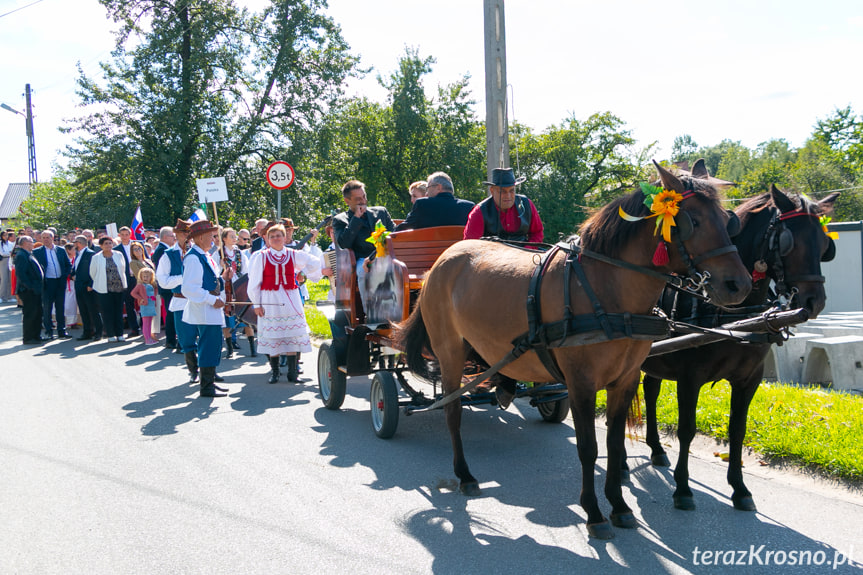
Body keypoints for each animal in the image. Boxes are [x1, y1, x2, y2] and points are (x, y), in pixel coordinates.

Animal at [394, 163, 752, 540]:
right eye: (692, 221)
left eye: (728, 220)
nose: (739, 285)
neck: (605, 290)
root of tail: (443, 259)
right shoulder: (581, 383)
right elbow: (588, 448)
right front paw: (594, 512)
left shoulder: (625, 380)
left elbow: (614, 444)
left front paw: (620, 506)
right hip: (450, 351)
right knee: (453, 410)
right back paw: (464, 474)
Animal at [640, 184, 836, 512]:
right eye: (790, 242)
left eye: (824, 245)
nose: (814, 301)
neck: (733, 315)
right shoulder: (689, 378)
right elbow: (686, 429)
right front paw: (683, 488)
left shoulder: (749, 379)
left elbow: (738, 430)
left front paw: (740, 488)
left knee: (650, 392)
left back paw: (655, 449)